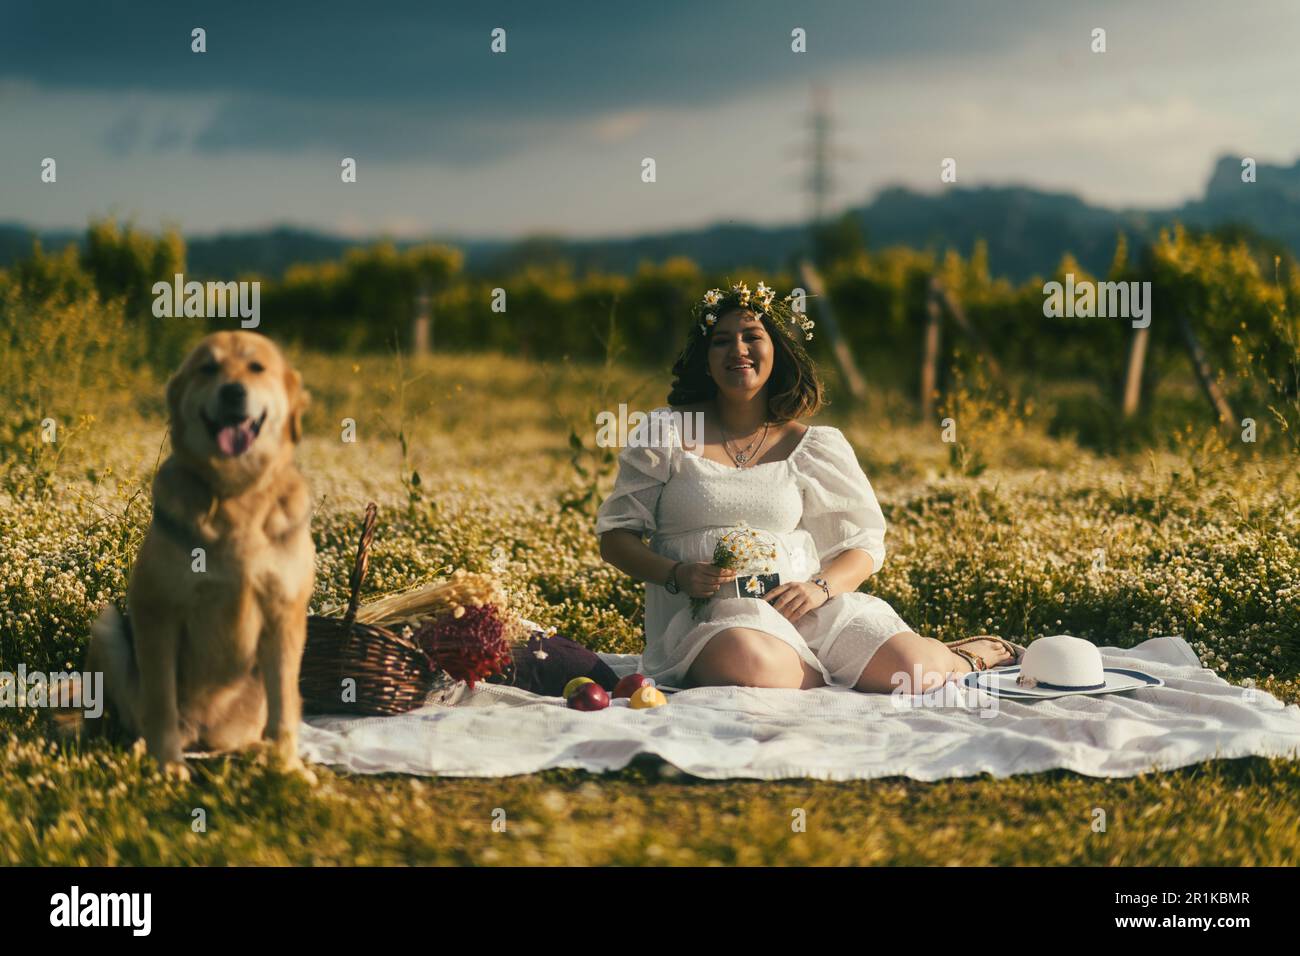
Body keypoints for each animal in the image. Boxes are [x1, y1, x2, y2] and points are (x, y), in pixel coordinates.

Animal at [86, 332, 314, 780]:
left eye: (257, 368)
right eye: (208, 368)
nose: (233, 392)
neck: (237, 495)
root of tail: (204, 737)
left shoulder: (284, 614)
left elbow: (285, 709)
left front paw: (288, 767)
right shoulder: (157, 610)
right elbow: (161, 703)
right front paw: (167, 765)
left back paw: (256, 752)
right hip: (106, 629)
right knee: (132, 719)